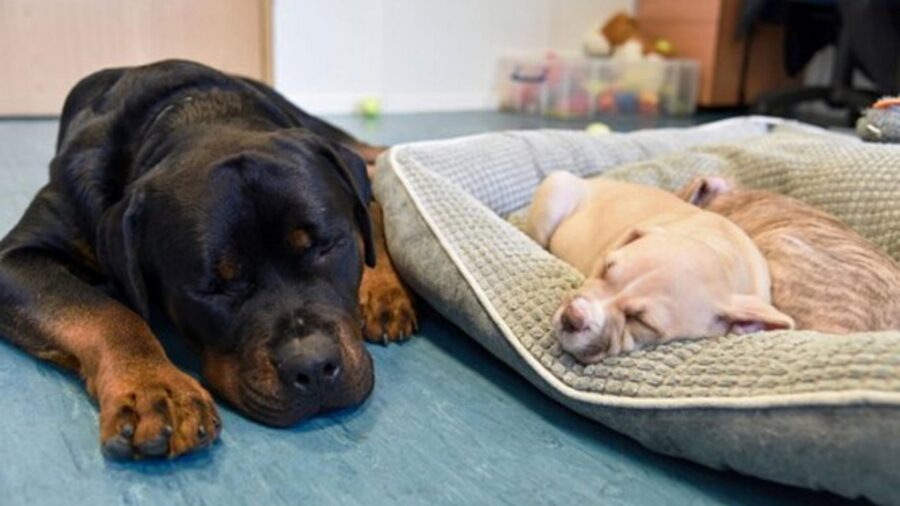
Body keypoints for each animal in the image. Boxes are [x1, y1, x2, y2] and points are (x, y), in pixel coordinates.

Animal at [0, 61, 416, 460]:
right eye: (212, 288)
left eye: (326, 247)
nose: (312, 366)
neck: (199, 113)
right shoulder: (15, 259)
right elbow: (108, 313)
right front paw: (155, 388)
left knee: (374, 177)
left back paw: (383, 290)